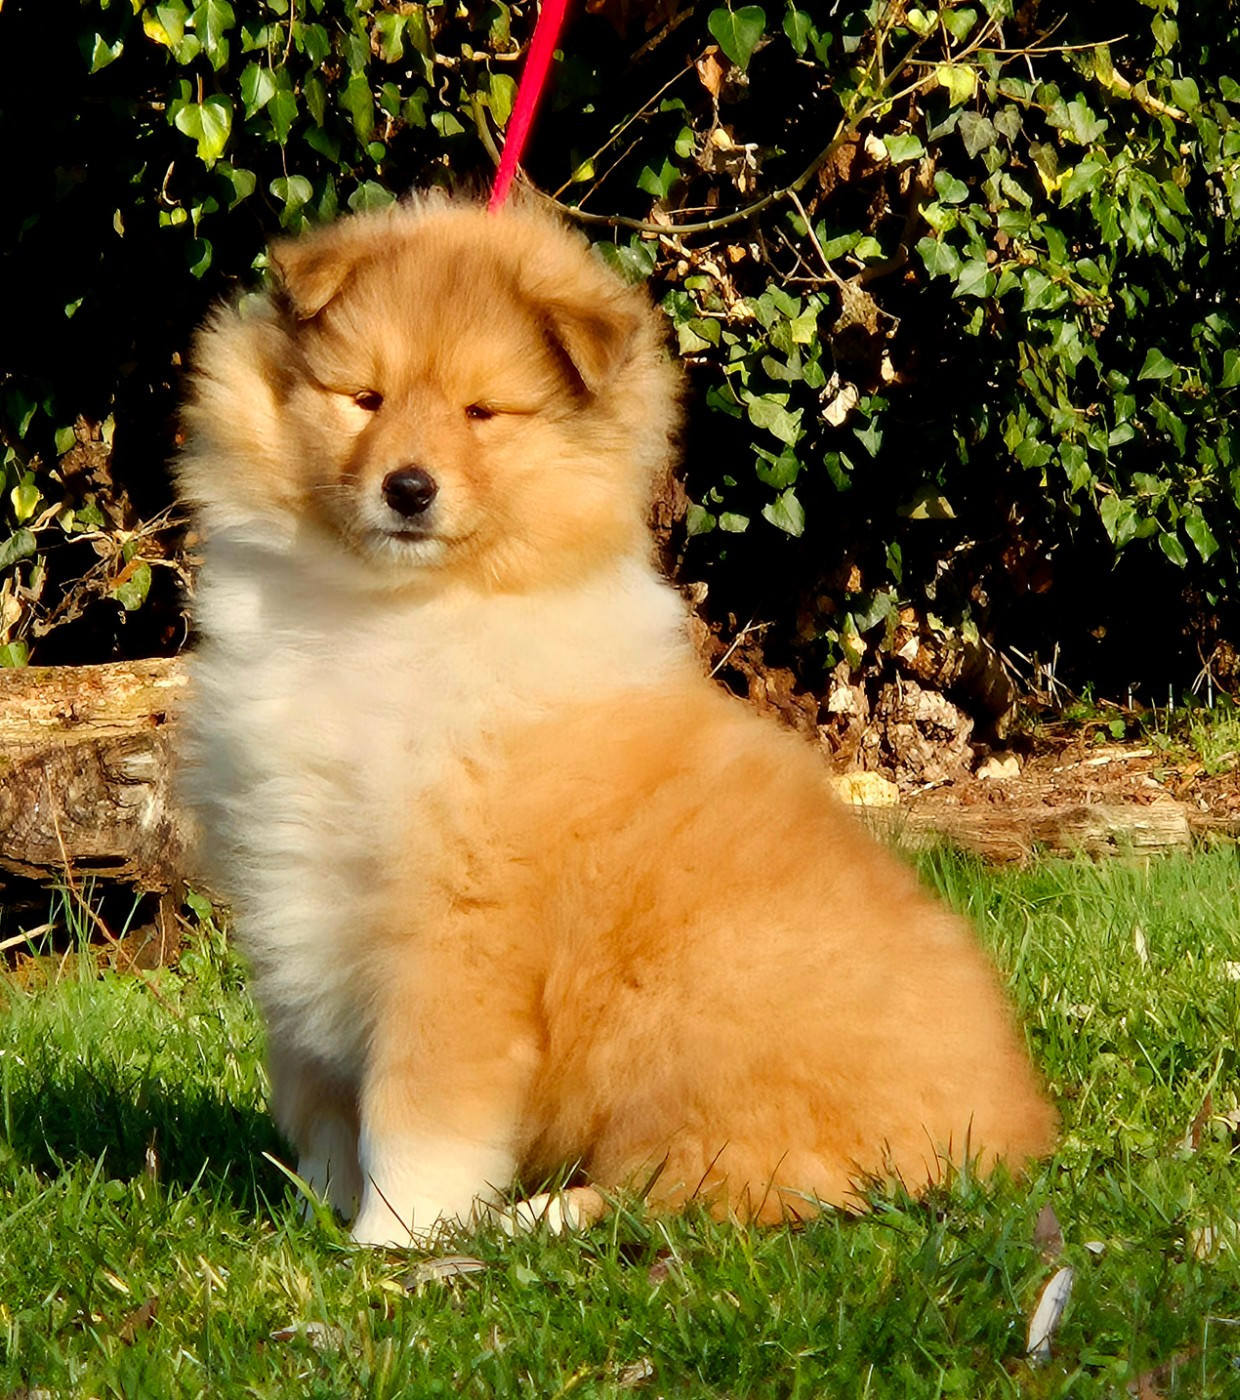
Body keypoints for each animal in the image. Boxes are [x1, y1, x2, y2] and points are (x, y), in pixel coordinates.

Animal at [175, 194, 1057, 1246]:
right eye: (365, 398)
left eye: (482, 412)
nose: (408, 488)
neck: (392, 613)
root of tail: (1014, 1133)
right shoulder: (293, 887)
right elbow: (318, 1098)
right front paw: (319, 1209)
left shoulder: (457, 930)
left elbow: (417, 1111)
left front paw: (395, 1240)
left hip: (699, 1022)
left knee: (712, 1187)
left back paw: (536, 1218)